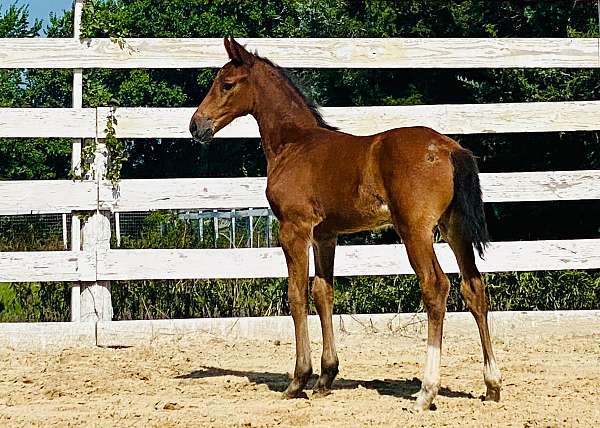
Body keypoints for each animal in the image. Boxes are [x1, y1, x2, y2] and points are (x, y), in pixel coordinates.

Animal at [191, 37, 502, 412]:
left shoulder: (294, 229)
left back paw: (426, 391)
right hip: (453, 227)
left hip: (415, 231)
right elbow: (323, 292)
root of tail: (449, 148)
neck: (293, 144)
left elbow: (297, 294)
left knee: (436, 287)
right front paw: (326, 377)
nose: (196, 126)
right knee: (474, 287)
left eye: (226, 84)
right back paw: (492, 385)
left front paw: (298, 380)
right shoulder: (325, 236)